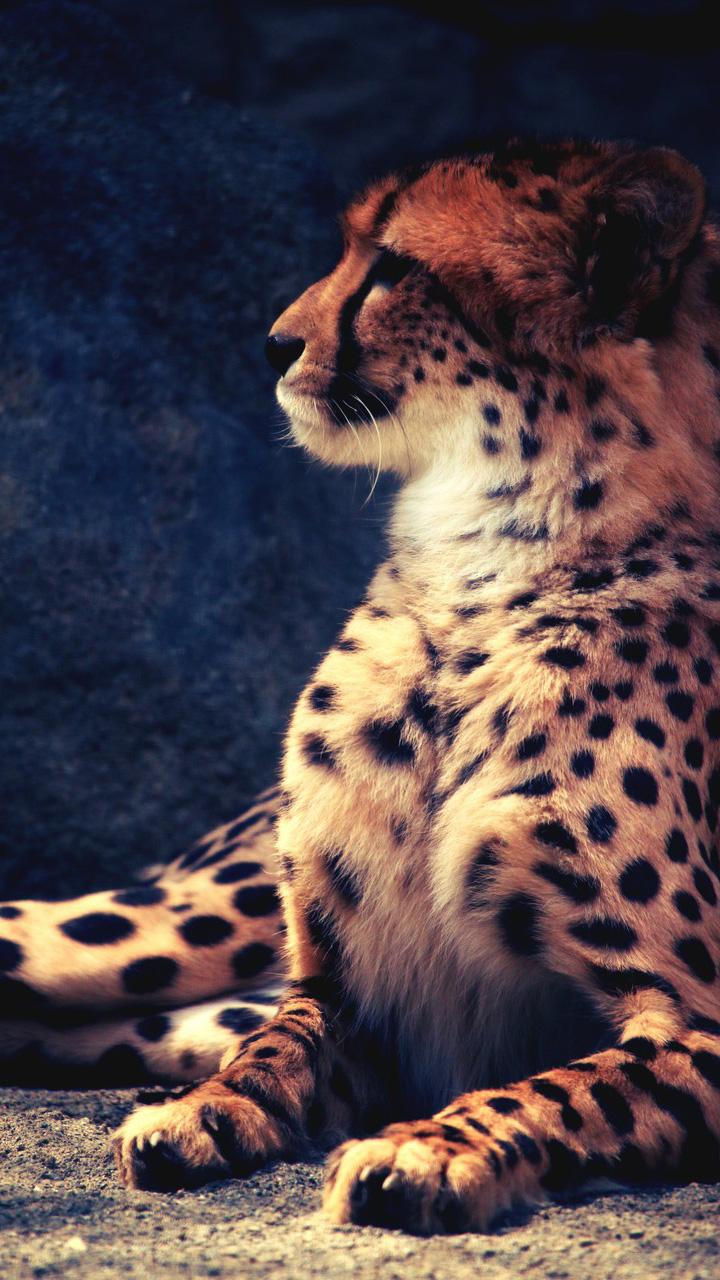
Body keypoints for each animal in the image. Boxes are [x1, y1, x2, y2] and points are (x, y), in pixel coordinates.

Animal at [2, 138, 720, 1236]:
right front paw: (207, 1110)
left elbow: (563, 1086)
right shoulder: (350, 995)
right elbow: (275, 1042)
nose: (272, 343)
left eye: (395, 267)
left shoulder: (695, 1021)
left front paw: (433, 1148)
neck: (477, 569)